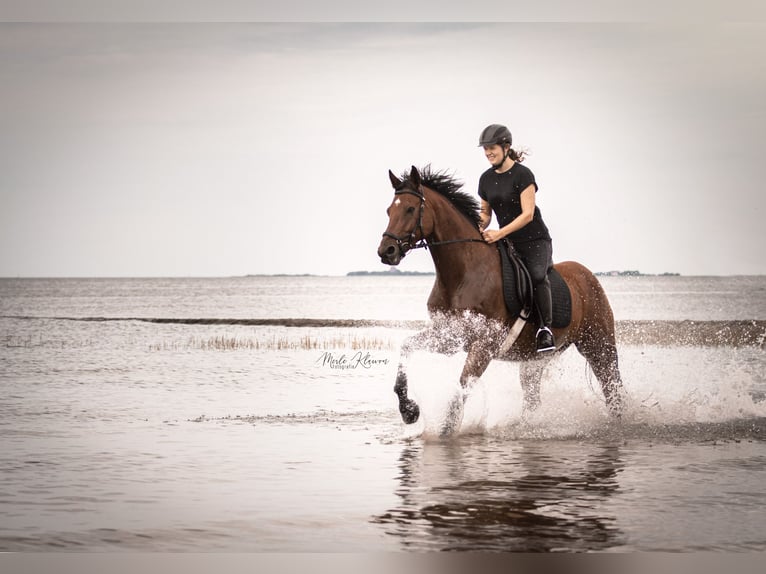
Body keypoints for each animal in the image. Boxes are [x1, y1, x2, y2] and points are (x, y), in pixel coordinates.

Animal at [377, 165, 624, 435]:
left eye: (410, 209)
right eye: (389, 210)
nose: (386, 251)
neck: (463, 274)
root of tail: (588, 275)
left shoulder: (484, 345)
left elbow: (462, 387)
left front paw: (445, 431)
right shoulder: (448, 337)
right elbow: (406, 349)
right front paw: (409, 410)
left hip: (599, 344)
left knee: (613, 387)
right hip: (535, 361)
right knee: (533, 397)